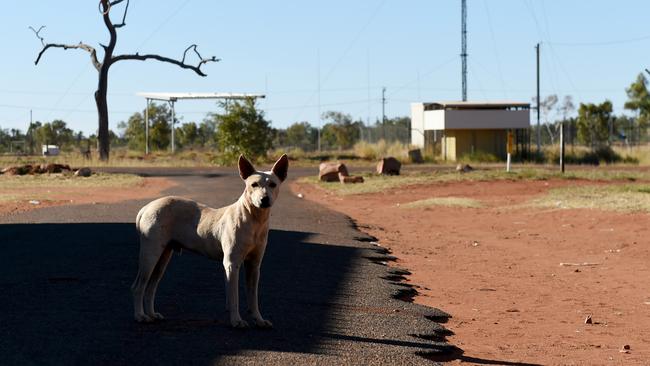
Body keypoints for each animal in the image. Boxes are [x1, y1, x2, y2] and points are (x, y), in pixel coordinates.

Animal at [129, 154, 286, 328]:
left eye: (273, 184)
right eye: (254, 184)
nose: (264, 199)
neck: (254, 219)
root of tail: (146, 207)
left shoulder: (254, 266)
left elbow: (253, 298)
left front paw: (258, 319)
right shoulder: (231, 264)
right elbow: (234, 297)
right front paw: (236, 320)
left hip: (163, 257)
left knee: (151, 287)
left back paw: (151, 314)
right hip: (150, 255)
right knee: (138, 287)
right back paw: (140, 316)